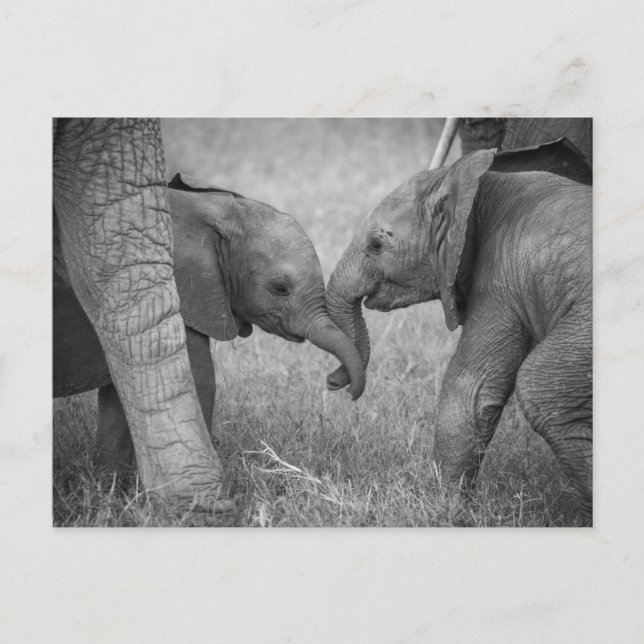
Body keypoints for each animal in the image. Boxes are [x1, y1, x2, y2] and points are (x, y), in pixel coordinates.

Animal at [54, 171, 365, 477]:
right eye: (280, 289)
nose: (334, 383)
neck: (215, 210)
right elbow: (198, 382)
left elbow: (119, 398)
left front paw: (108, 487)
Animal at [324, 138, 592, 518]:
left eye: (376, 244)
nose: (334, 384)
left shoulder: (499, 282)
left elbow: (469, 389)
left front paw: (444, 508)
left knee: (542, 387)